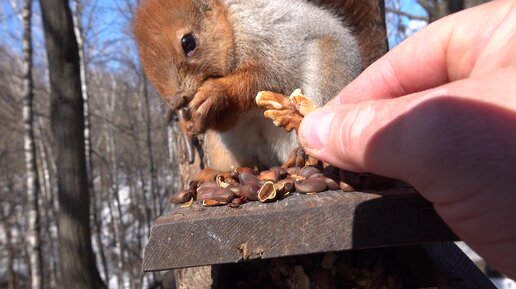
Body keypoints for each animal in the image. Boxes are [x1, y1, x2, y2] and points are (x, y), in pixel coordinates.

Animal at [137, 0, 362, 171]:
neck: (231, 25)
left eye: (188, 42)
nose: (177, 101)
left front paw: (215, 92)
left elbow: (265, 77)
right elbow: (226, 119)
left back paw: (302, 154)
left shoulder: (267, 40)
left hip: (327, 73)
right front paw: (189, 124)